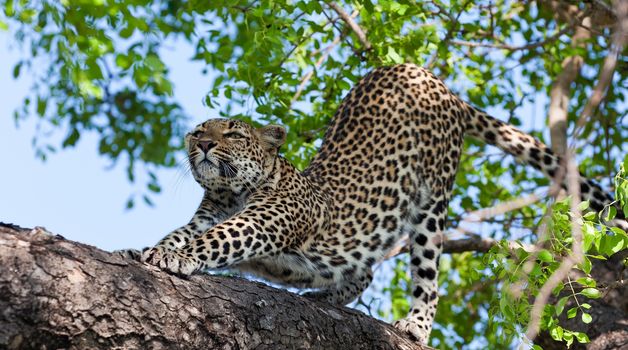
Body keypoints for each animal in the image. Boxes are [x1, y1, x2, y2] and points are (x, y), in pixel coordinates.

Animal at [129, 64, 624, 344]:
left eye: (232, 133)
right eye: (198, 131)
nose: (203, 145)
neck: (232, 192)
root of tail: (433, 79)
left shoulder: (262, 221)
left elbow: (218, 239)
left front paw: (176, 259)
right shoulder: (206, 214)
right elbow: (181, 233)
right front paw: (144, 250)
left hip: (431, 202)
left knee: (427, 274)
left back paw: (416, 324)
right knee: (362, 271)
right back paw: (325, 293)